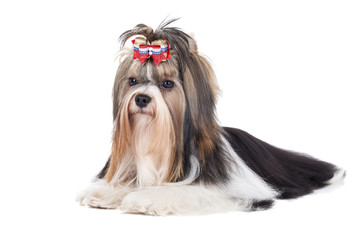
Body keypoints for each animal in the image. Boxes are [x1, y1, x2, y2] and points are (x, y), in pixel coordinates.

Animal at [77, 19, 344, 216]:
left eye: (167, 84)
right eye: (132, 81)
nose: (142, 98)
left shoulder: (225, 191)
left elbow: (182, 191)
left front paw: (146, 199)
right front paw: (105, 192)